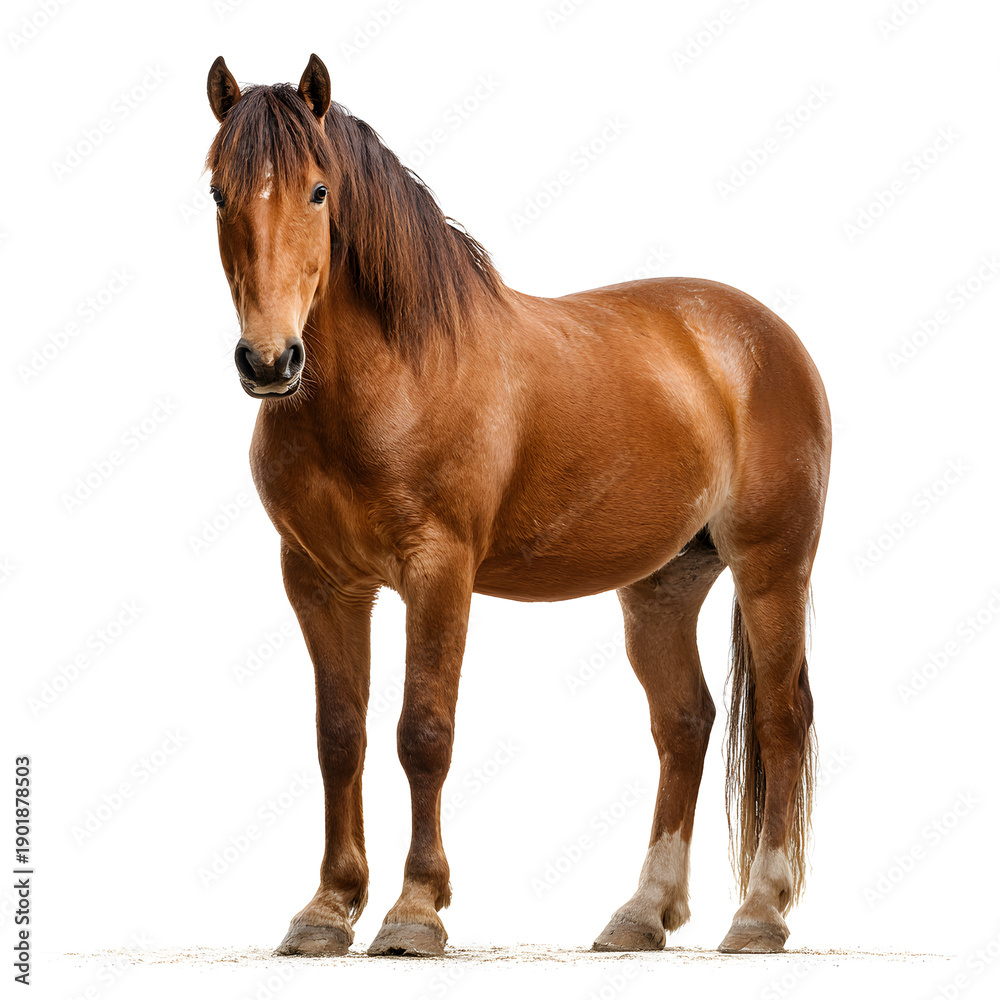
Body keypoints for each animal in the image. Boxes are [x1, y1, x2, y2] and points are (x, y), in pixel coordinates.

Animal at [205, 54, 831, 958]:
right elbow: (340, 737)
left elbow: (423, 732)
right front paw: (326, 911)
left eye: (319, 191)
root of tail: (766, 337)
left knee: (782, 719)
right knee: (685, 721)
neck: (395, 373)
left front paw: (414, 912)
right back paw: (642, 913)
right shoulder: (319, 581)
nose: (268, 360)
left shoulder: (439, 572)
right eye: (218, 192)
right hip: (664, 585)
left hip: (772, 567)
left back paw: (759, 914)